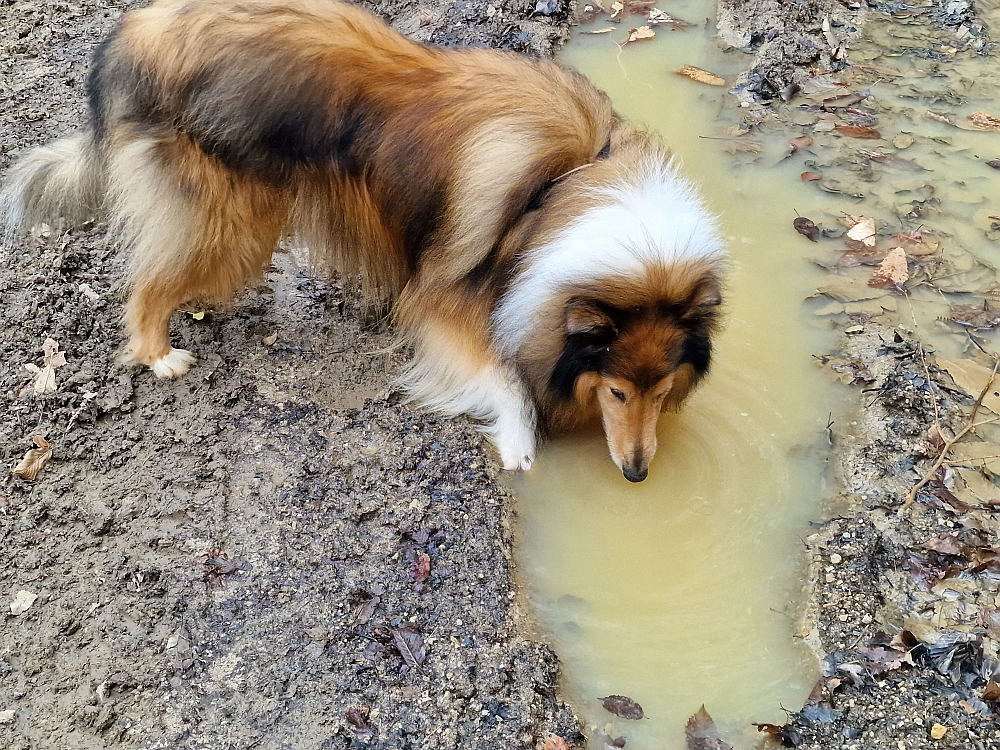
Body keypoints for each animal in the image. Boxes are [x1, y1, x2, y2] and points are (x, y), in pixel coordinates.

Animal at [0, 0, 728, 482]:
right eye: (618, 392)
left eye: (662, 389)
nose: (637, 472)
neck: (567, 184)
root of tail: (138, 33)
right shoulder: (446, 298)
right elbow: (498, 373)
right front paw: (519, 442)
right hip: (230, 224)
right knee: (146, 286)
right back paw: (160, 355)